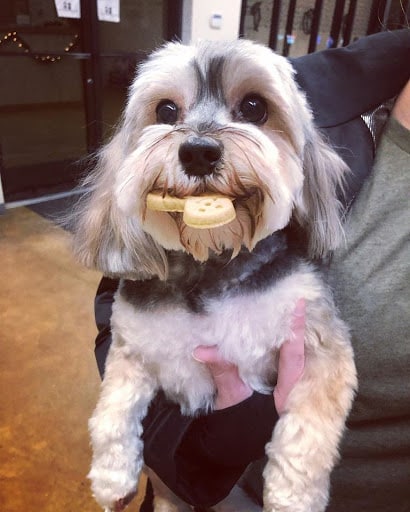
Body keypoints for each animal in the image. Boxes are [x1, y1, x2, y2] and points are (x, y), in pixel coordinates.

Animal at [72, 39, 358, 512]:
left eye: (255, 107)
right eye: (167, 110)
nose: (199, 151)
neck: (209, 266)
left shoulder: (320, 347)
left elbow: (305, 437)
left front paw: (292, 496)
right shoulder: (130, 347)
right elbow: (111, 411)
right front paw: (112, 479)